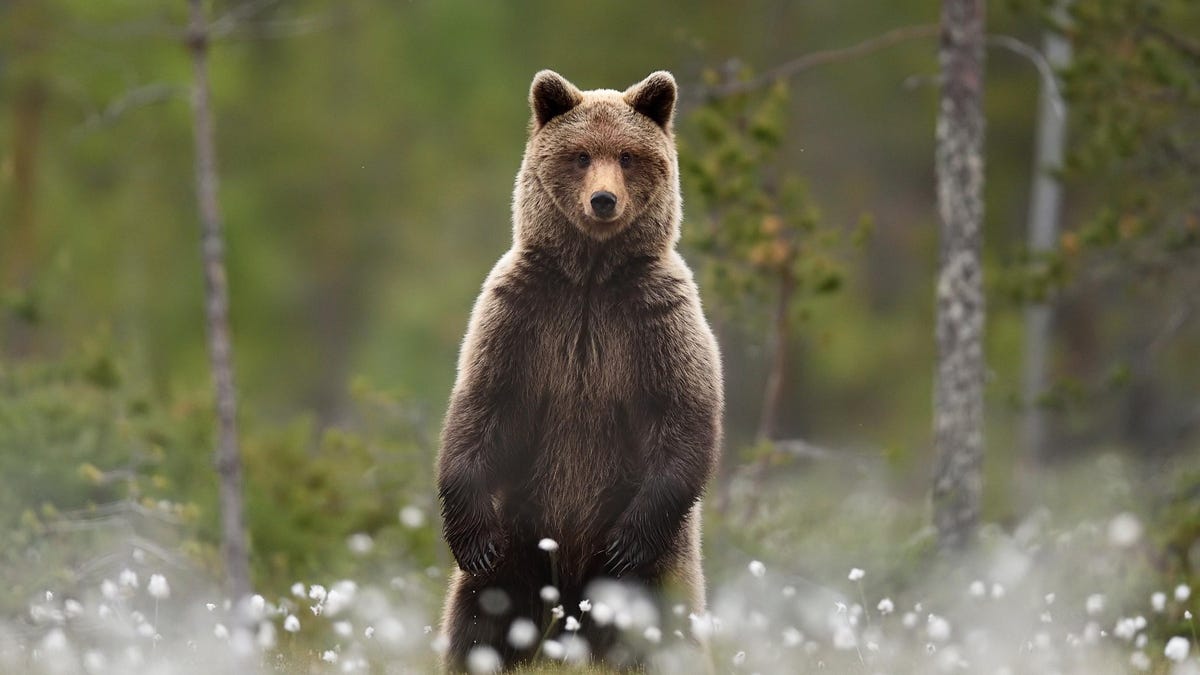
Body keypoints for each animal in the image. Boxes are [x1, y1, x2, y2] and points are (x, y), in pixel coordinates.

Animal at [436, 69, 723, 672]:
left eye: (628, 156)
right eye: (581, 154)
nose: (604, 199)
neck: (590, 278)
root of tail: (567, 609)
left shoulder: (655, 318)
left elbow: (684, 413)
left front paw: (626, 542)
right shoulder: (522, 315)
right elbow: (481, 404)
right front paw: (470, 537)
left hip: (663, 567)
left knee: (662, 626)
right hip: (521, 533)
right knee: (480, 616)